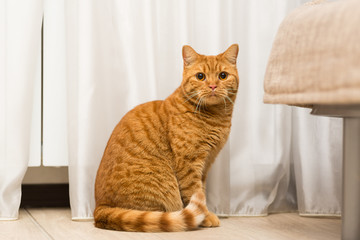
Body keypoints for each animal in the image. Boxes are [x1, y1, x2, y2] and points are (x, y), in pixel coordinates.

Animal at [94, 44, 239, 232]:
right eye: (200, 76)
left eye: (223, 75)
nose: (213, 86)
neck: (216, 117)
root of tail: (99, 207)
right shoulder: (189, 163)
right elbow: (194, 191)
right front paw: (205, 217)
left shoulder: (206, 163)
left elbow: (201, 189)